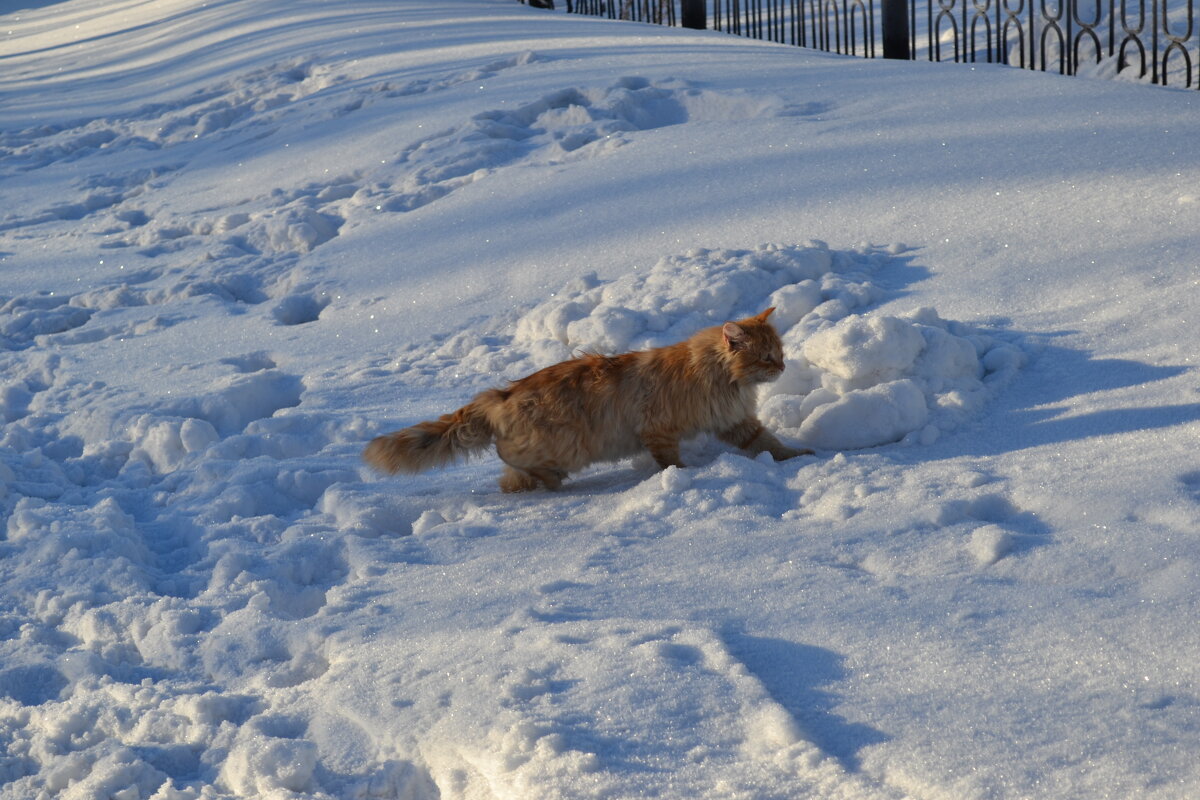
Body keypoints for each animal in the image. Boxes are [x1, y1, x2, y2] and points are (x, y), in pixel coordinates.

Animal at [362, 309, 816, 491]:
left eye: (779, 351)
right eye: (765, 356)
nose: (782, 366)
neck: (719, 378)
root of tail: (497, 395)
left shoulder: (735, 422)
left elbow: (770, 444)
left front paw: (800, 457)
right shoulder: (659, 428)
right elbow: (671, 462)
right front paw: (685, 477)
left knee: (509, 479)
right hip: (560, 447)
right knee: (512, 464)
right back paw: (549, 482)